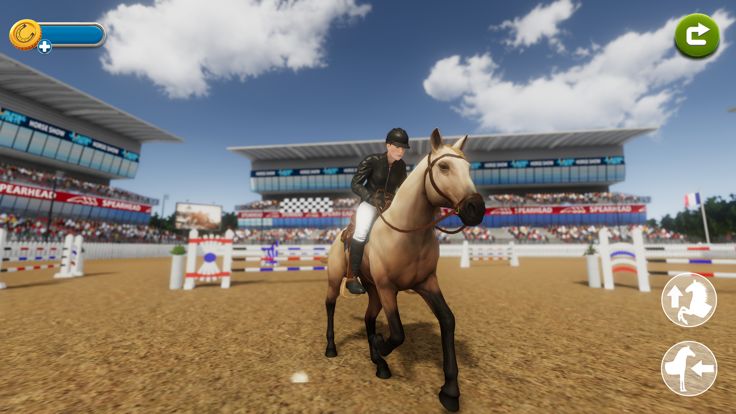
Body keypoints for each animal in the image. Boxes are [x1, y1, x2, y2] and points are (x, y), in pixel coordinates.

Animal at [324, 128, 486, 412]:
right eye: (443, 166)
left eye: (468, 167)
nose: (476, 209)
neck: (408, 234)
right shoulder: (388, 288)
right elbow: (398, 333)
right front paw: (381, 344)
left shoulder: (428, 283)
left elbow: (448, 320)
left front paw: (450, 391)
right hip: (337, 281)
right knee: (330, 306)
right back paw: (332, 348)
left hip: (373, 291)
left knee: (368, 317)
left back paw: (379, 363)